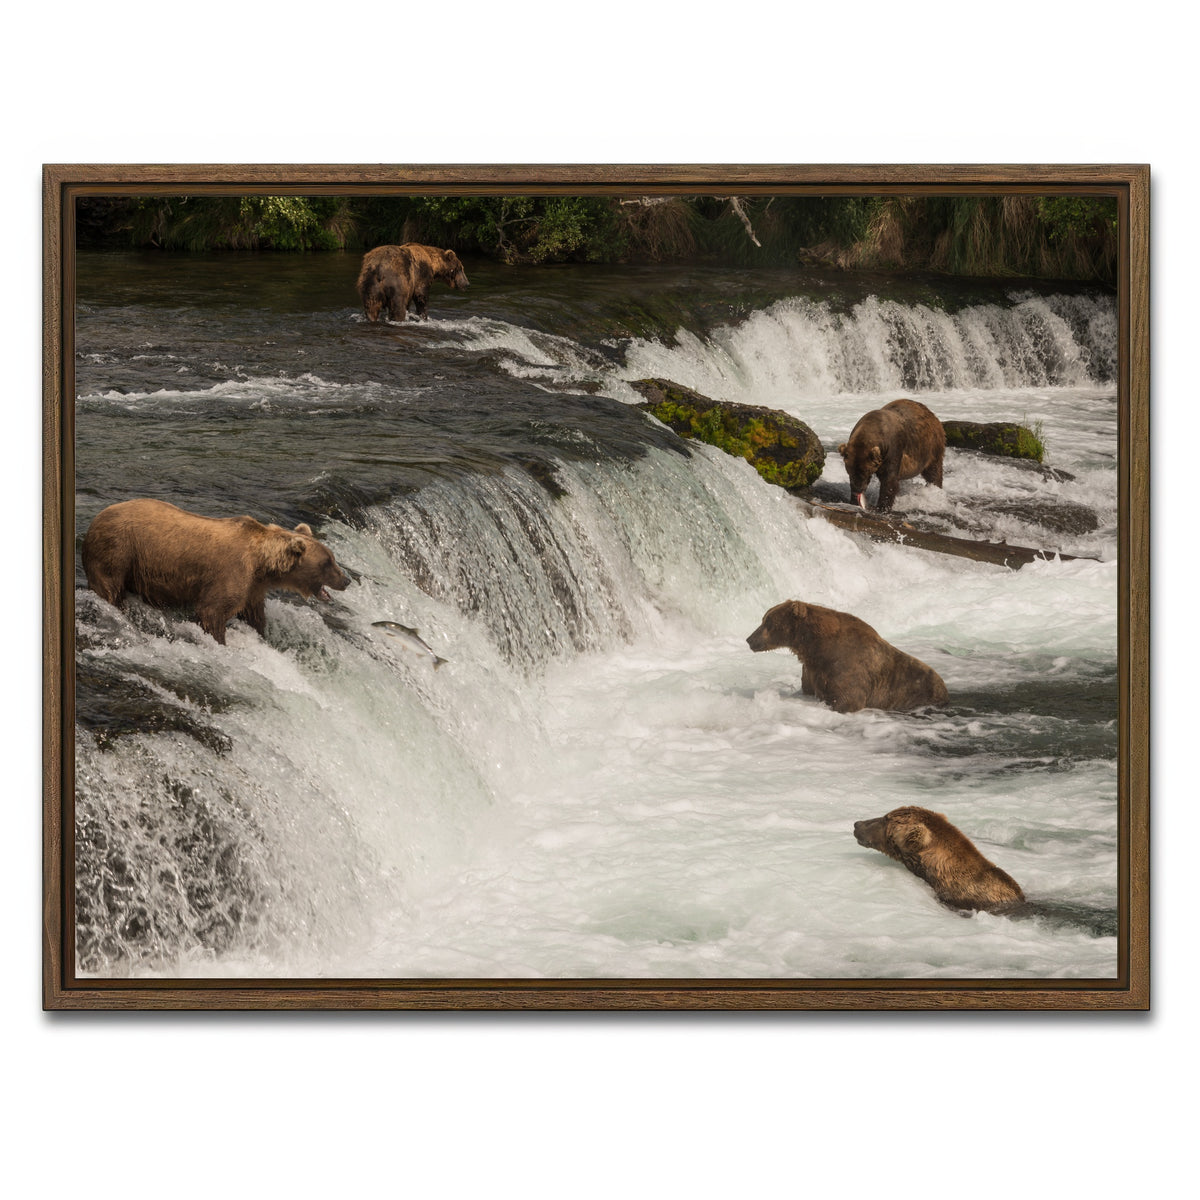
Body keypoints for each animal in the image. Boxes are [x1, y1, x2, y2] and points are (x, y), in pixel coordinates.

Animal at [81, 498, 352, 645]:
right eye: (328, 562)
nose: (347, 579)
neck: (262, 565)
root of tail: (95, 520)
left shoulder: (253, 588)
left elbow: (254, 616)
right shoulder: (231, 573)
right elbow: (212, 612)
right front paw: (221, 641)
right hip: (118, 551)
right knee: (110, 589)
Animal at [746, 599, 948, 713]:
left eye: (767, 622)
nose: (749, 639)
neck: (815, 647)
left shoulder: (847, 666)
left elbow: (848, 699)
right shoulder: (812, 669)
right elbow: (808, 688)